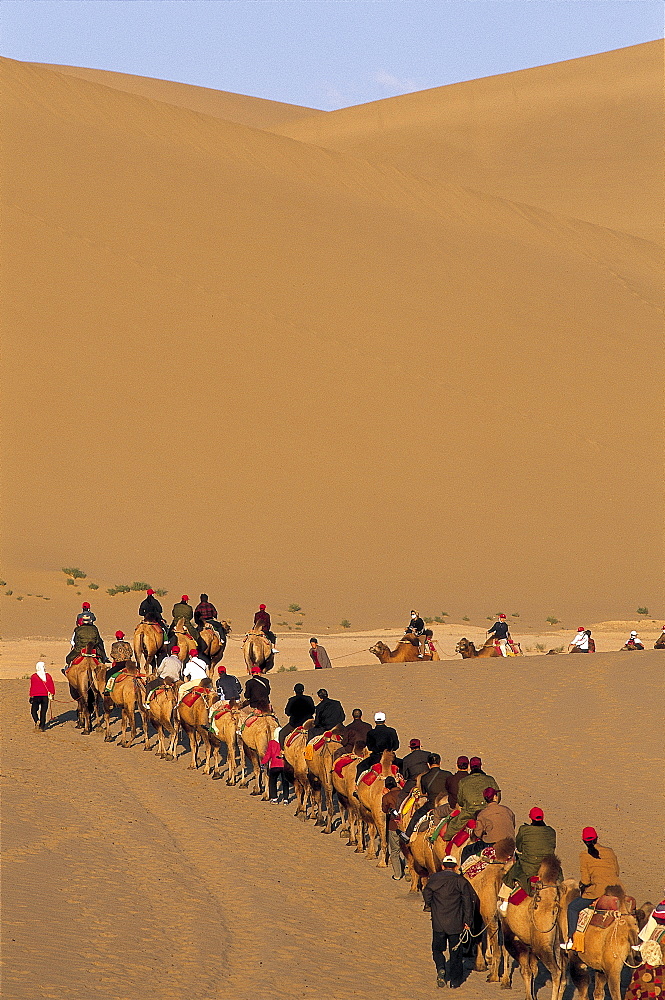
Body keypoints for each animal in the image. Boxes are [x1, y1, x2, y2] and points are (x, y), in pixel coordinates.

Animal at [498, 856, 576, 1000]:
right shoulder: (530, 944)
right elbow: (533, 969)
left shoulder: (512, 935)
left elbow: (525, 969)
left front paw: (507, 983)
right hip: (562, 947)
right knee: (563, 978)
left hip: (543, 945)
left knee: (556, 972)